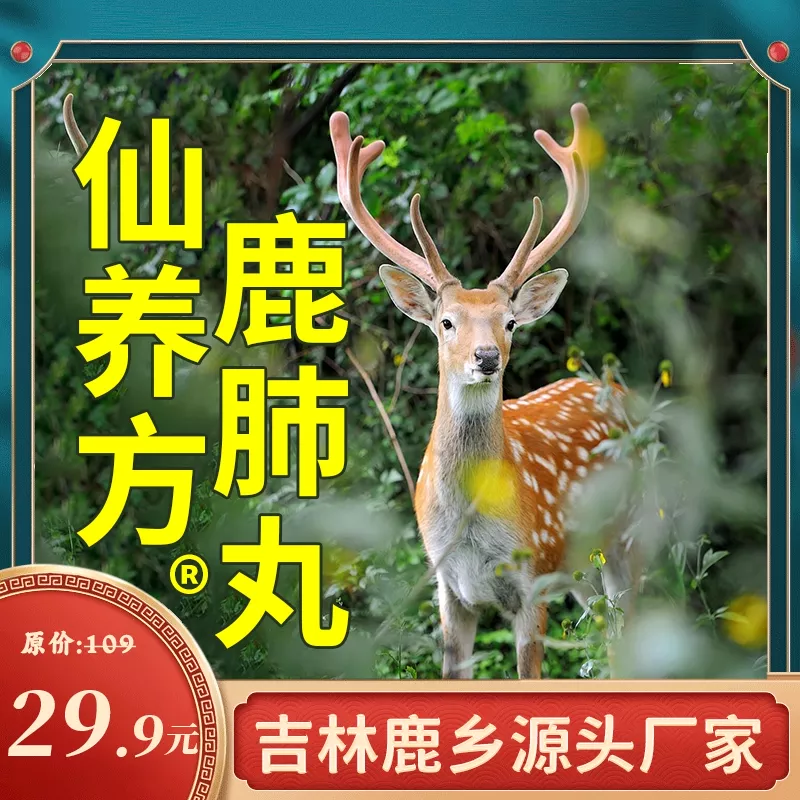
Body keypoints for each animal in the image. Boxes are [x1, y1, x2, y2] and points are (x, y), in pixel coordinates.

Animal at [330, 103, 637, 679]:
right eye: (446, 322)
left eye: (510, 322)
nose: (487, 357)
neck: (472, 530)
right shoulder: (448, 588)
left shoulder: (533, 579)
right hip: (584, 570)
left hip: (635, 532)